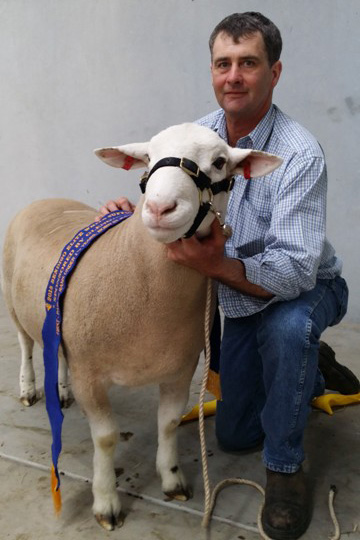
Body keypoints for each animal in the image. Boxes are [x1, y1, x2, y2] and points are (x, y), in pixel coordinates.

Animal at [0, 121, 282, 528]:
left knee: (59, 357)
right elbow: (105, 438)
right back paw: (28, 388)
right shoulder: (91, 373)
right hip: (12, 299)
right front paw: (105, 503)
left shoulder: (180, 368)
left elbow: (168, 424)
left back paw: (63, 392)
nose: (160, 208)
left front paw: (172, 480)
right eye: (148, 158)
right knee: (25, 346)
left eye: (219, 162)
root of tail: (46, 200)